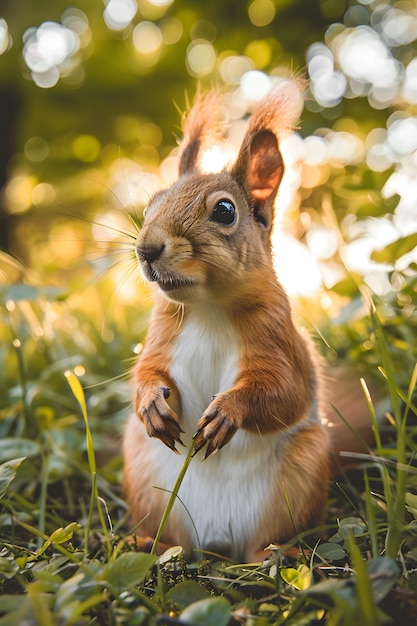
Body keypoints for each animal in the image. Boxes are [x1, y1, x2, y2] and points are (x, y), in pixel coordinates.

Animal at [122, 80, 370, 560]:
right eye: (150, 205)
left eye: (224, 211)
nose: (147, 249)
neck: (207, 307)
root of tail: (216, 541)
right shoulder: (163, 333)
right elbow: (146, 370)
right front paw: (150, 402)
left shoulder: (277, 338)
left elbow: (284, 391)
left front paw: (228, 412)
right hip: (142, 473)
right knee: (170, 538)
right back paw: (147, 544)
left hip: (301, 472)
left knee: (266, 539)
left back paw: (272, 554)